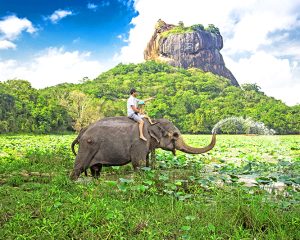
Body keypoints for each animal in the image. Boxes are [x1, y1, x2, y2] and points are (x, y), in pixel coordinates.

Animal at [69, 116, 216, 180]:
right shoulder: (139, 142)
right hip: (87, 146)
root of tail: (81, 132)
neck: (152, 122)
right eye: (175, 135)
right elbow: (138, 164)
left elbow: (145, 164)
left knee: (96, 170)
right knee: (78, 169)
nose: (214, 131)